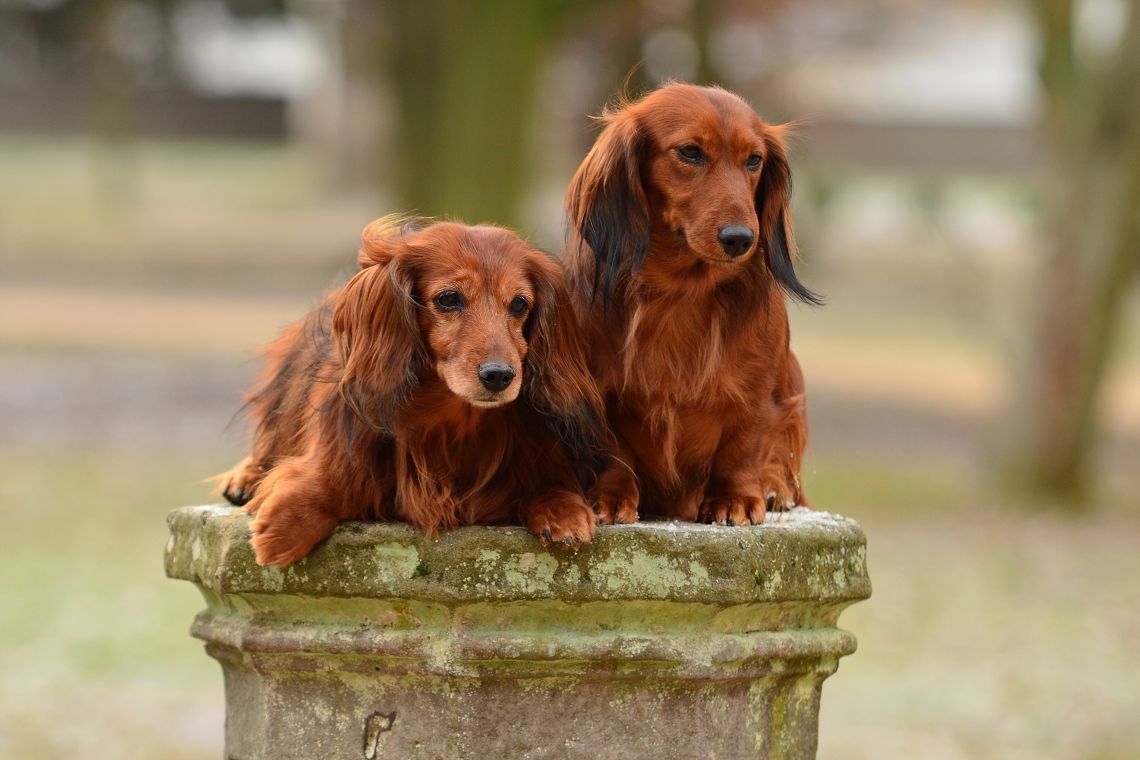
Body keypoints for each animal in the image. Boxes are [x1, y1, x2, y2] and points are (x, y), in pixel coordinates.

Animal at [216, 217, 605, 566]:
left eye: (519, 304)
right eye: (448, 298)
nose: (500, 376)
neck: (452, 418)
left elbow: (549, 484)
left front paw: (563, 511)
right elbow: (332, 482)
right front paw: (287, 525)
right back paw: (244, 479)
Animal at [563, 82, 819, 526]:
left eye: (754, 160)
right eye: (690, 152)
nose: (740, 239)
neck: (682, 292)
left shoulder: (758, 393)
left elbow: (743, 446)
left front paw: (734, 500)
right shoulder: (601, 392)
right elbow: (614, 451)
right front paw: (612, 496)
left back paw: (774, 490)